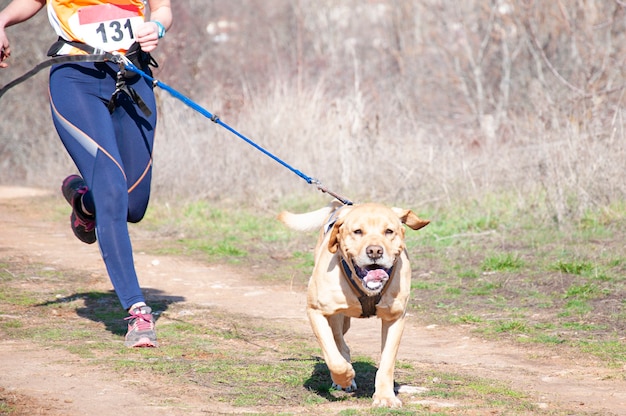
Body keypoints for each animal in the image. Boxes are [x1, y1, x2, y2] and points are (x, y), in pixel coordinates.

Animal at [278, 200, 428, 408]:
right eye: (358, 231)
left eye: (389, 231)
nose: (375, 251)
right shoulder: (315, 311)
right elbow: (333, 356)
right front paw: (345, 376)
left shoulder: (395, 317)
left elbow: (387, 363)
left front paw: (385, 397)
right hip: (337, 318)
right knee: (339, 342)